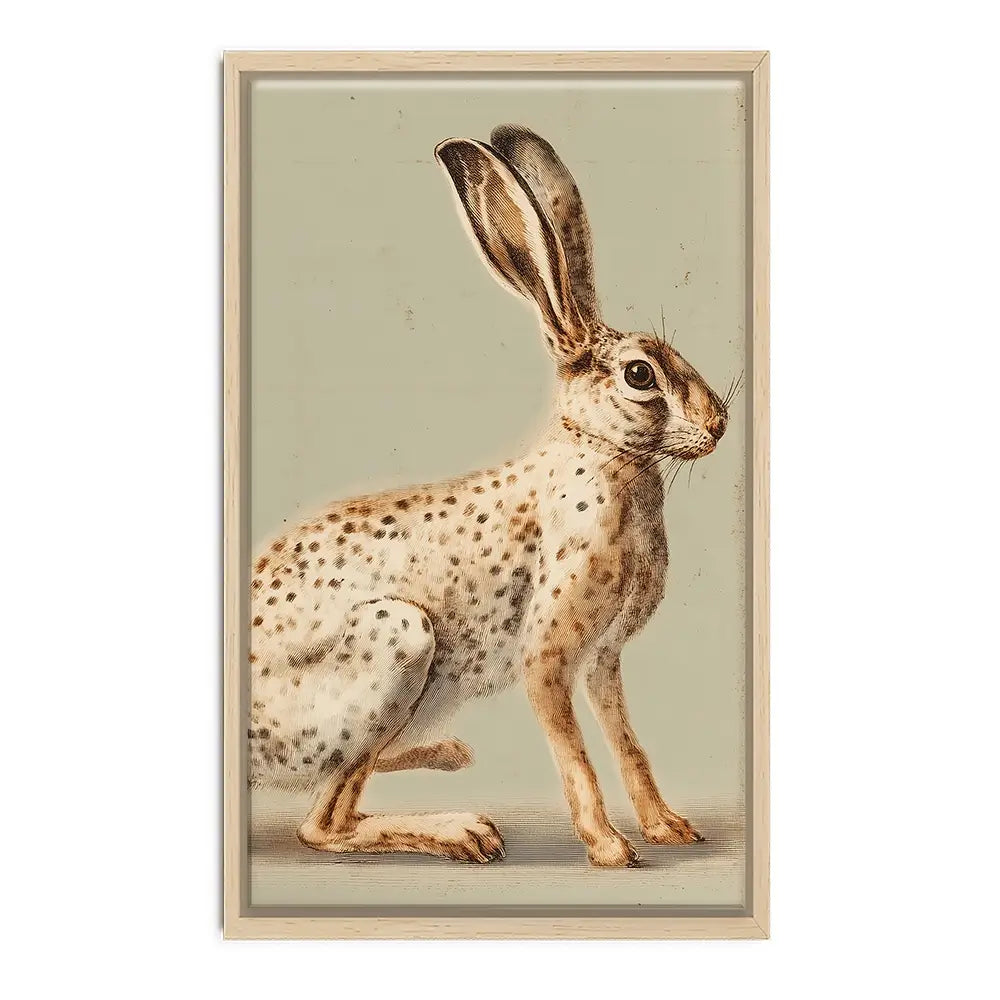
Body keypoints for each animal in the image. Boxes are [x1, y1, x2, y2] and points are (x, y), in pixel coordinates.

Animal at [247, 124, 729, 867]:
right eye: (640, 375)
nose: (720, 425)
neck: (605, 456)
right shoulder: (548, 656)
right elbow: (577, 760)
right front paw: (611, 849)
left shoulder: (605, 661)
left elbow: (627, 744)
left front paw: (667, 827)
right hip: (399, 643)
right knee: (323, 823)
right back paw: (464, 830)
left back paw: (448, 755)